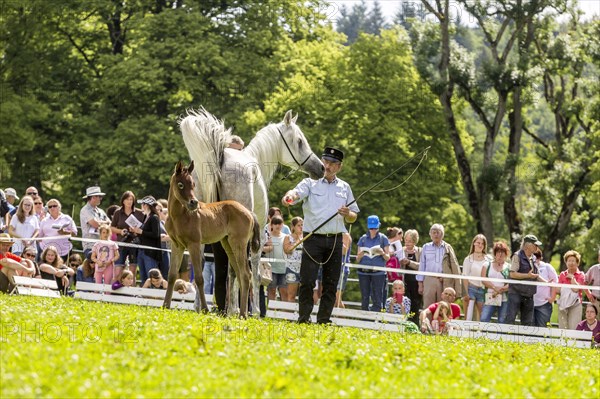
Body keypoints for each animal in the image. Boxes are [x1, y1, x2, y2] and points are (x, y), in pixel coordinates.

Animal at [180, 108, 326, 316]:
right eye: (299, 141)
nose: (321, 167)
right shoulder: (259, 236)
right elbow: (254, 272)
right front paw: (254, 310)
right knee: (237, 269)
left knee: (201, 263)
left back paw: (200, 307)